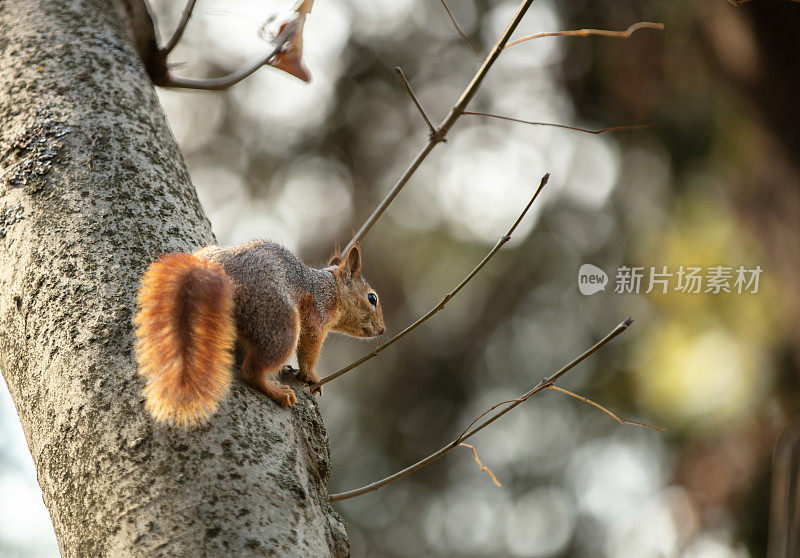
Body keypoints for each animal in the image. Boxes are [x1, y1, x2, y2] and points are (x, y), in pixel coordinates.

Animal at [134, 242, 384, 428]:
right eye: (372, 298)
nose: (382, 330)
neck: (330, 289)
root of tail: (210, 271)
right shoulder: (317, 314)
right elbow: (309, 350)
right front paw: (311, 376)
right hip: (280, 323)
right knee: (252, 369)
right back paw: (278, 392)